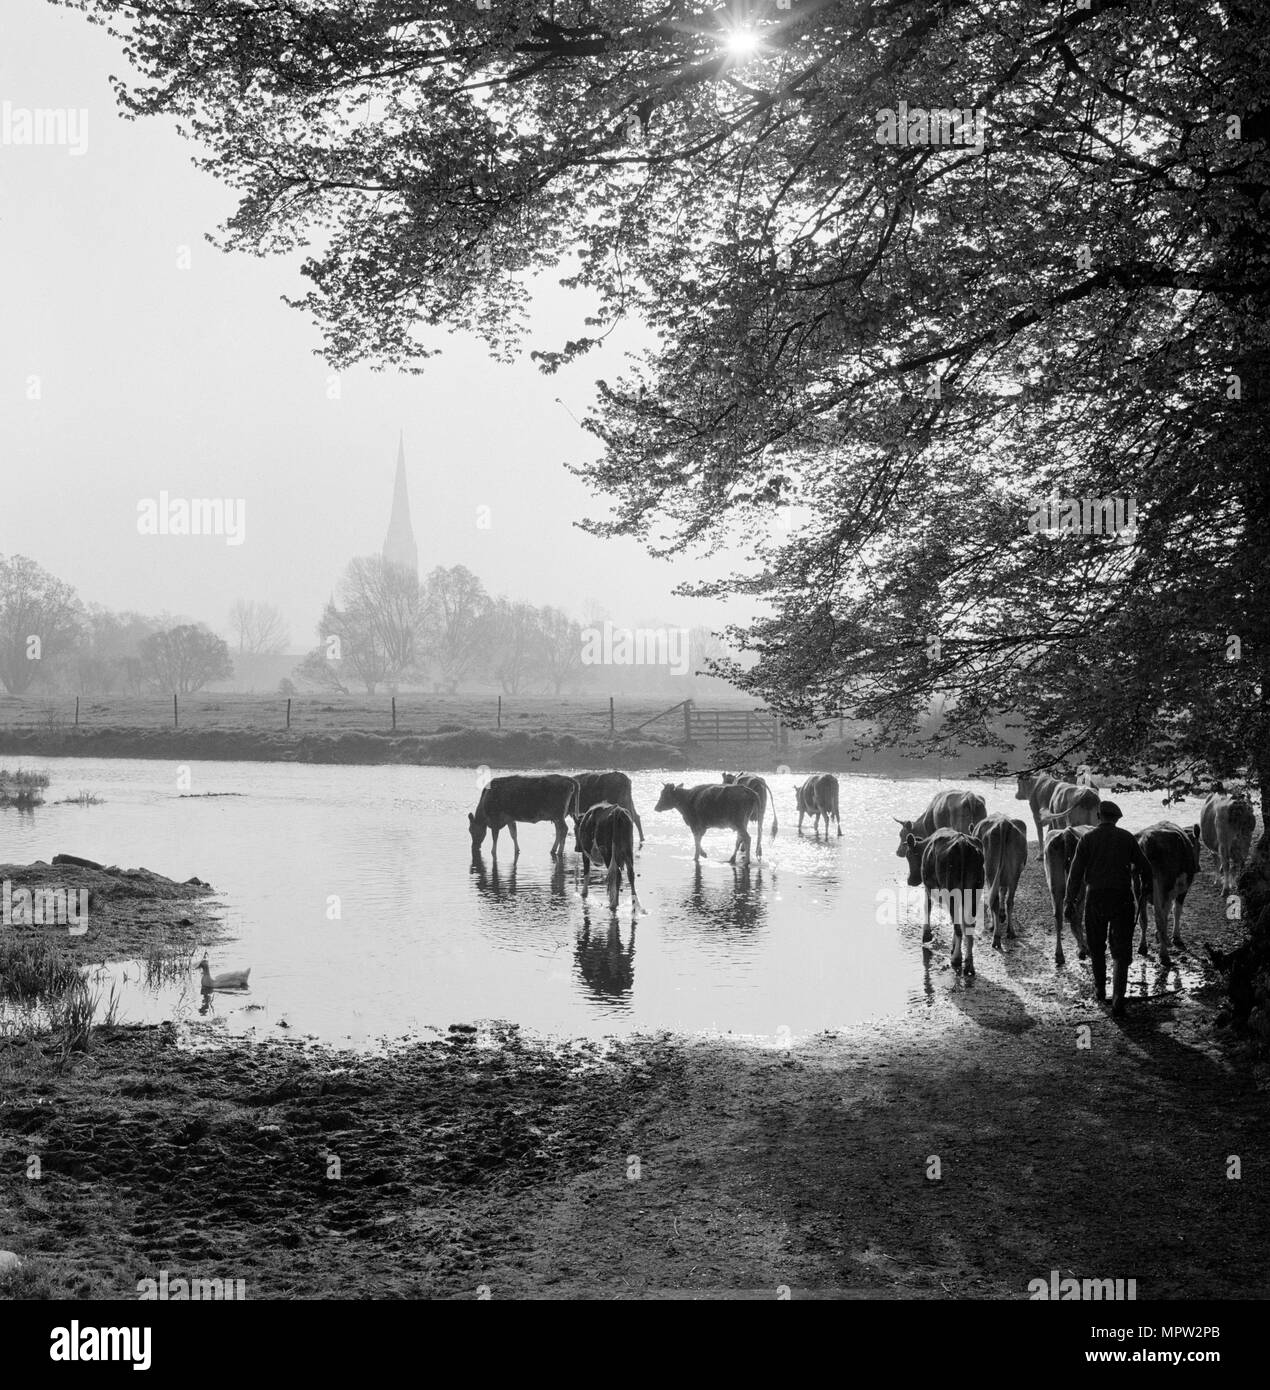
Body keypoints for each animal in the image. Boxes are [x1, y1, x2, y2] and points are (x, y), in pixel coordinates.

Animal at [894, 828, 983, 973]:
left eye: (909, 856)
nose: (910, 880)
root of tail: (963, 843)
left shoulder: (928, 887)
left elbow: (927, 907)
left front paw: (926, 935)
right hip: (975, 892)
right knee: (968, 928)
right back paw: (969, 965)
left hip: (952, 891)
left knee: (958, 927)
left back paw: (956, 959)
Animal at [972, 811, 1022, 950]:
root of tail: (1003, 824)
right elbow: (1003, 891)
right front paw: (1002, 915)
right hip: (1015, 873)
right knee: (1010, 900)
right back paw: (1010, 931)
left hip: (990, 870)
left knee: (993, 900)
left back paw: (996, 936)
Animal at [1044, 822, 1094, 967]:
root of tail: (1066, 833)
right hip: (1079, 883)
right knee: (1076, 916)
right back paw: (1082, 950)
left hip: (1055, 886)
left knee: (1058, 917)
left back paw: (1059, 955)